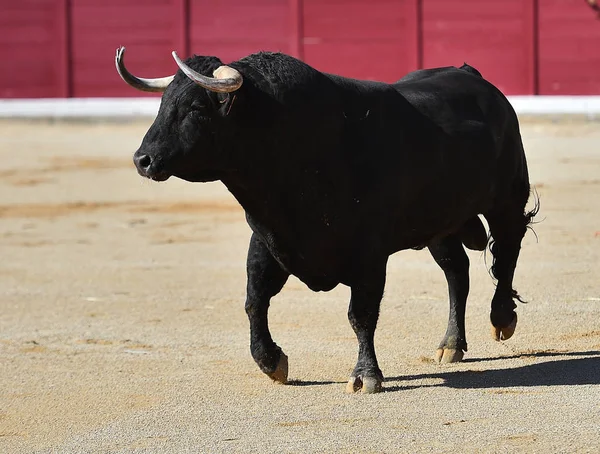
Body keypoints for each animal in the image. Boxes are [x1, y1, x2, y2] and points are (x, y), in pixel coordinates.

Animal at [115, 48, 536, 392]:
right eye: (163, 103)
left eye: (196, 108)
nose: (142, 160)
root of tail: (473, 76)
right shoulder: (268, 239)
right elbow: (254, 301)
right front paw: (271, 362)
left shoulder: (369, 254)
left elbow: (360, 314)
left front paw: (365, 376)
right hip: (439, 222)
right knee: (457, 272)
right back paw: (451, 345)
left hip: (507, 198)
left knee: (507, 254)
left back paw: (501, 317)